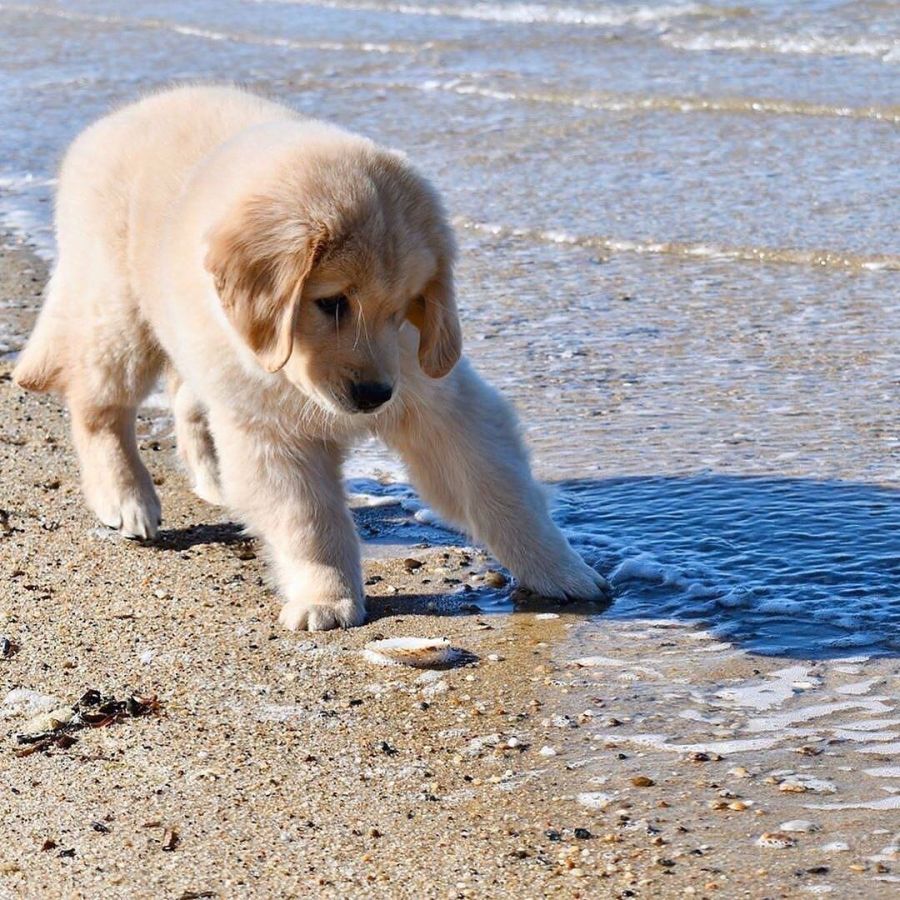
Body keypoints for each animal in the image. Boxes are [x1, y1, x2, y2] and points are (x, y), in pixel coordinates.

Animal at [14, 86, 608, 632]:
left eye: (404, 309)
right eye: (332, 303)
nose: (373, 397)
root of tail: (113, 121)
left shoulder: (440, 402)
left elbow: (499, 489)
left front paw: (562, 571)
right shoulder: (273, 433)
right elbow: (309, 521)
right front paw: (328, 597)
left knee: (186, 398)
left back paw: (212, 480)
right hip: (119, 315)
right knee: (100, 408)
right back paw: (126, 498)